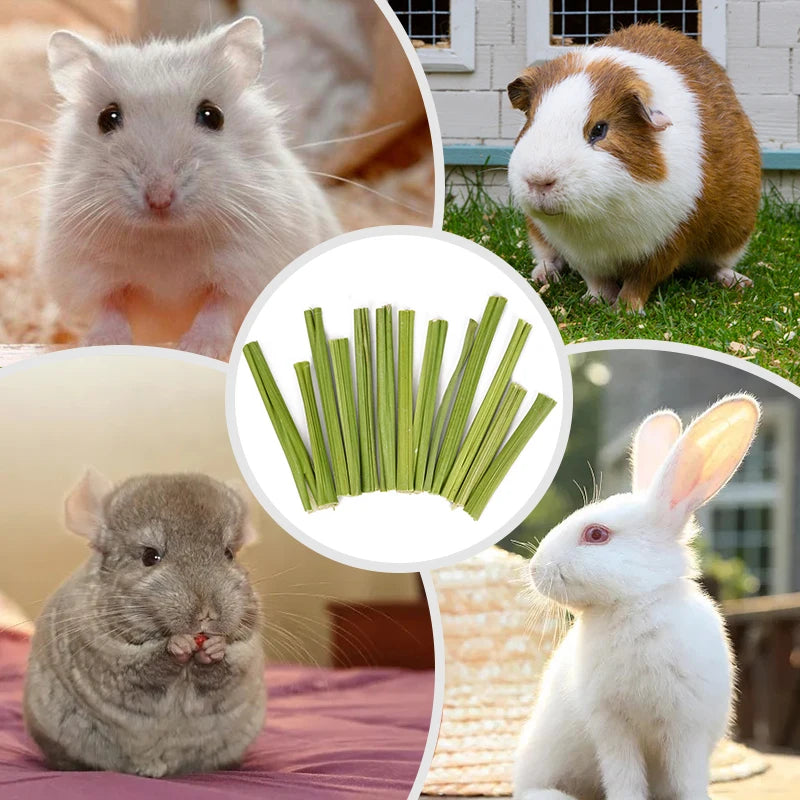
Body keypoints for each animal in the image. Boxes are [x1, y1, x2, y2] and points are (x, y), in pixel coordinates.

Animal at [23, 471, 265, 777]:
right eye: (150, 556)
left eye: (228, 554)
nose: (206, 614)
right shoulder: (108, 660)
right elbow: (148, 666)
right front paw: (178, 645)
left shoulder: (246, 655)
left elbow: (225, 669)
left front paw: (214, 650)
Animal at [37, 17, 340, 359]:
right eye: (107, 118)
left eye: (212, 115)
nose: (159, 198)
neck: (165, 239)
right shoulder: (86, 270)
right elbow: (108, 306)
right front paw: (105, 344)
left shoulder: (248, 265)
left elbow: (218, 306)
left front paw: (200, 348)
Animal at [506, 24, 761, 312]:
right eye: (530, 121)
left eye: (599, 129)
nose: (539, 181)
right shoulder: (579, 251)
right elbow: (594, 278)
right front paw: (596, 301)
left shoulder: (667, 241)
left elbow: (640, 281)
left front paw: (625, 310)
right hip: (537, 234)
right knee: (547, 258)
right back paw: (544, 277)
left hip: (734, 236)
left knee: (714, 266)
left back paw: (740, 282)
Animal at [514, 394, 761, 800]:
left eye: (596, 534)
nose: (535, 570)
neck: (635, 605)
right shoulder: (613, 726)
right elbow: (624, 777)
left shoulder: (686, 728)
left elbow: (688, 779)